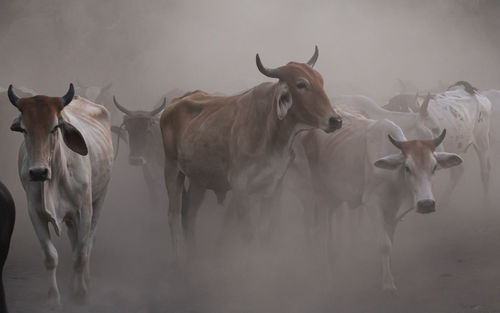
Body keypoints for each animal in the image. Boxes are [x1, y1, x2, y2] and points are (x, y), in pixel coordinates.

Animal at [7, 84, 113, 306]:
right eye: (24, 129)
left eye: (55, 127)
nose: (38, 172)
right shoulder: (35, 213)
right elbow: (50, 257)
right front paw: (54, 299)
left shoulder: (84, 210)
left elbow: (80, 254)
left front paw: (81, 293)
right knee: (74, 241)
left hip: (100, 199)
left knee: (88, 242)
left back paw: (84, 280)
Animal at [161, 46, 344, 255]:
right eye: (301, 84)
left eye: (321, 81)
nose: (335, 120)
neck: (272, 137)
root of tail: (176, 101)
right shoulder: (240, 187)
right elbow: (247, 235)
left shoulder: (273, 186)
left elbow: (265, 233)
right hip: (172, 169)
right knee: (173, 216)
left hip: (199, 179)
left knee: (189, 215)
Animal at [292, 113, 462, 292]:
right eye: (407, 168)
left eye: (434, 167)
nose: (426, 204)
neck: (395, 179)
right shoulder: (373, 205)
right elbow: (384, 244)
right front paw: (387, 283)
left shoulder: (394, 211)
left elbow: (390, 241)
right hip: (317, 195)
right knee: (320, 233)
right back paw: (326, 274)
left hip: (333, 197)